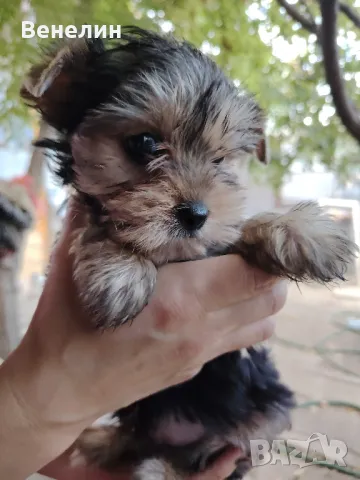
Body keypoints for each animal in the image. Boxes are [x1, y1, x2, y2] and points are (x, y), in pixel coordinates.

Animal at [21, 27, 358, 480]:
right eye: (145, 143)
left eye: (219, 159)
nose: (197, 214)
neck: (174, 255)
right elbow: (99, 222)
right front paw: (120, 268)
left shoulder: (213, 243)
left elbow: (238, 227)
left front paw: (306, 233)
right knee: (146, 442)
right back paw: (128, 453)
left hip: (268, 409)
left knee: (226, 445)